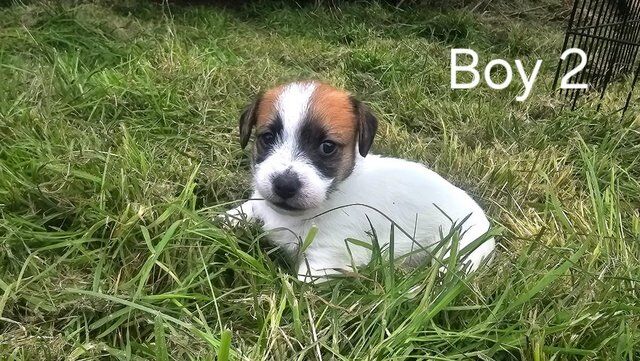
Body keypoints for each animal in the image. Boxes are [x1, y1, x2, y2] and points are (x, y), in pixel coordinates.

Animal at [226, 81, 496, 282]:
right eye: (267, 138)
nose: (284, 185)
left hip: (461, 254)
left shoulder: (326, 259)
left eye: (327, 147)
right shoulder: (260, 203)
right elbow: (244, 210)